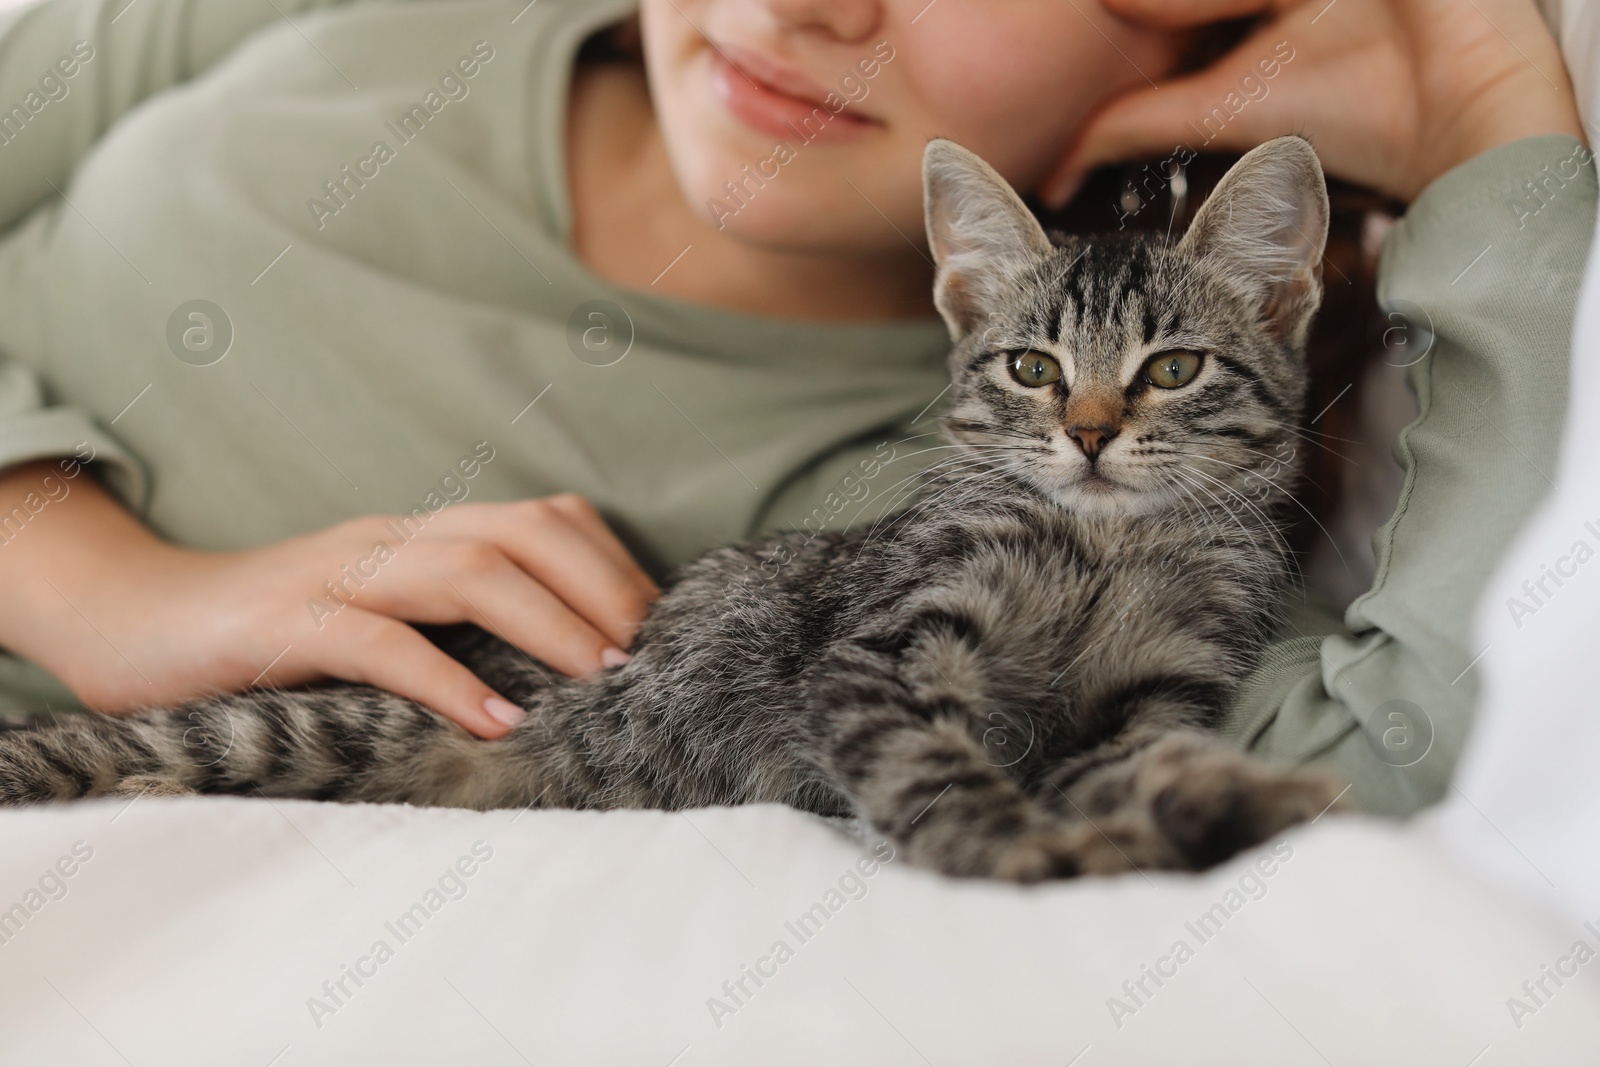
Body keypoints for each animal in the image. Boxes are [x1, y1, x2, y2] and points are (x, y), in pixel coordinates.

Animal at [0, 135, 1344, 883]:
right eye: (1031, 368)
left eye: (1172, 368)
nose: (1091, 432)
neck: (1108, 541)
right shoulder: (882, 647)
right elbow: (935, 764)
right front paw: (1017, 849)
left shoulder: (1156, 687)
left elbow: (1142, 759)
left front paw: (1221, 804)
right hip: (314, 721)